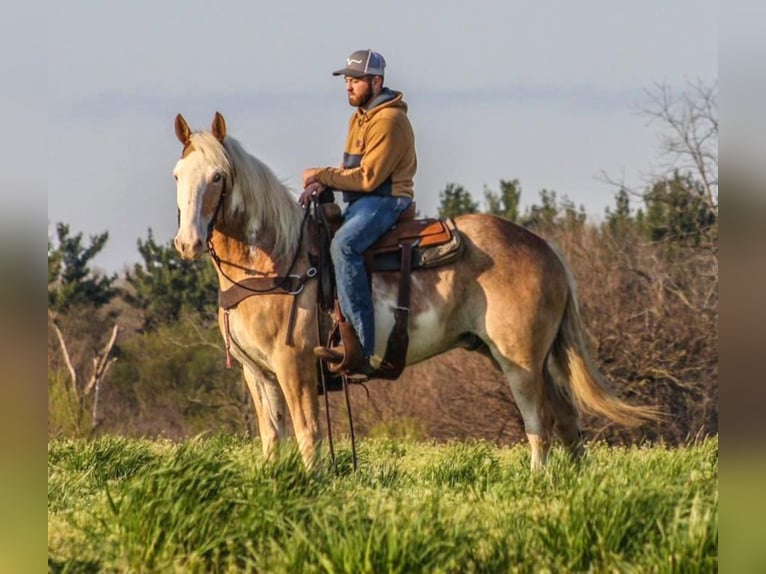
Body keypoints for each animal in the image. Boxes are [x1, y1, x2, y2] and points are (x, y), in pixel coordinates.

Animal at [174, 111, 660, 472]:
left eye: (218, 176)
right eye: (178, 173)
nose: (187, 242)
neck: (276, 258)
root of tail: (545, 248)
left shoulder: (294, 367)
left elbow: (309, 436)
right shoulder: (258, 373)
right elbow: (272, 438)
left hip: (519, 361)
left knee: (539, 422)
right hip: (516, 356)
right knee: (567, 418)